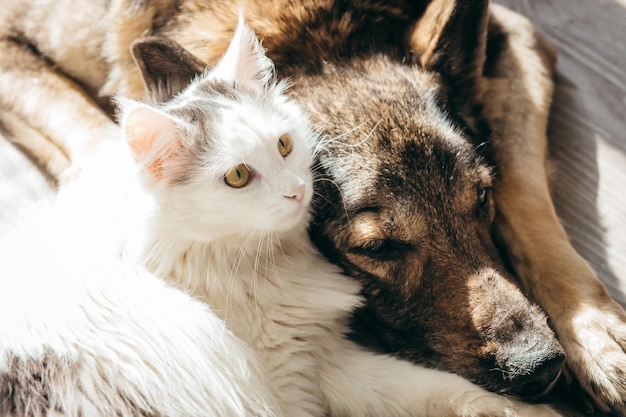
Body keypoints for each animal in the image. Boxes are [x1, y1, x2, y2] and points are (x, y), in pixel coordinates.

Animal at [0, 0, 620, 412]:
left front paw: (597, 339)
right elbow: (101, 137)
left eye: (482, 198)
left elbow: (528, 198)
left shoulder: (519, 35)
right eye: (378, 248)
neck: (309, 34)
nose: (541, 368)